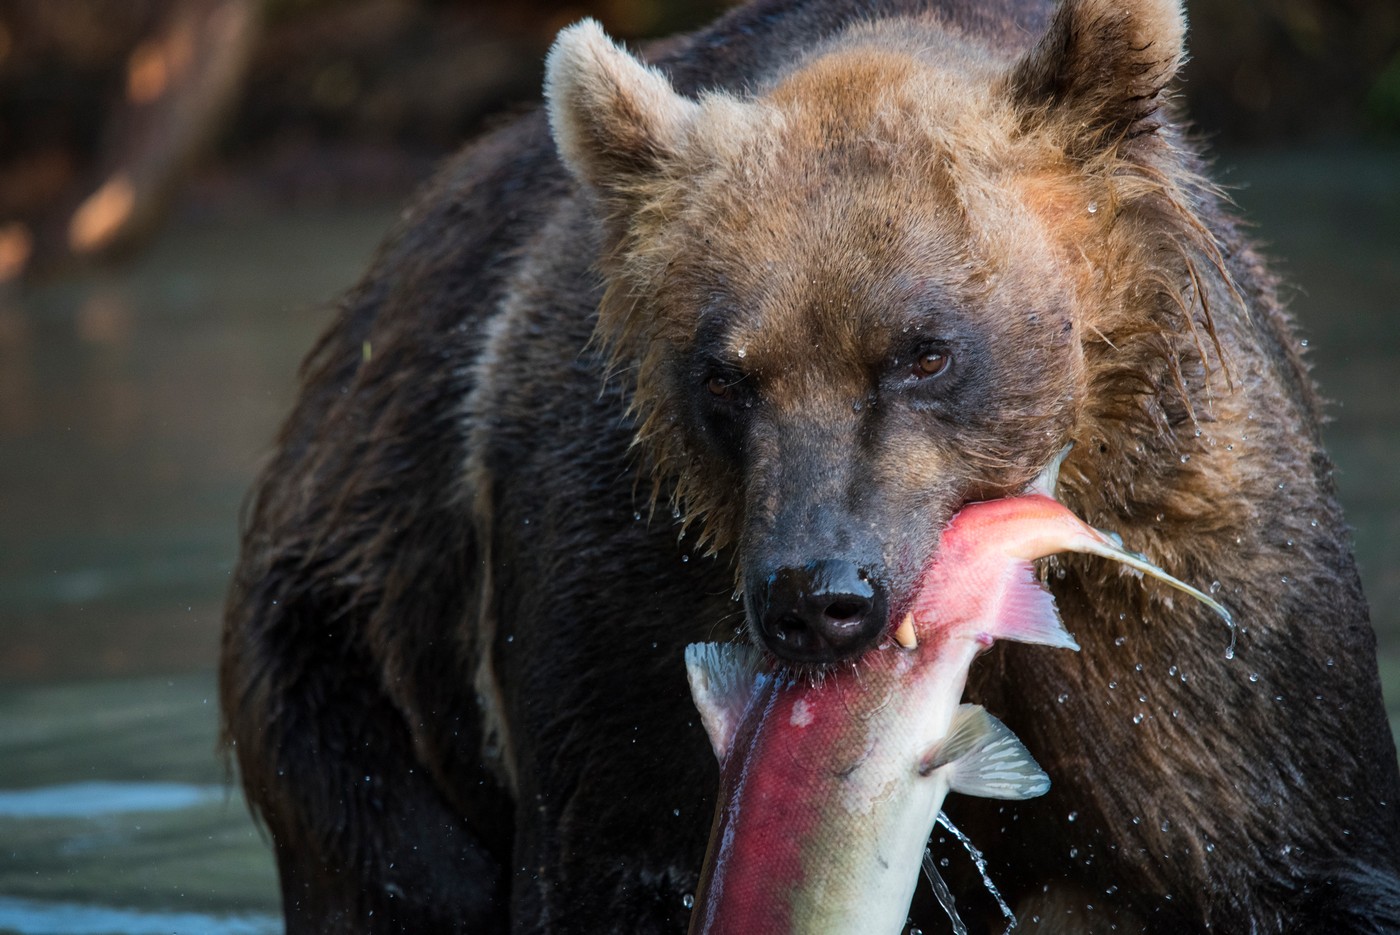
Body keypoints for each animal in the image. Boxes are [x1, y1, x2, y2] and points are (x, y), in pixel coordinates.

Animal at [218, 0, 1400, 929]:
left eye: (924, 349)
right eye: (725, 376)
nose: (816, 594)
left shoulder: (1194, 595)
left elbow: (1280, 840)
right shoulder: (621, 583)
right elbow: (614, 845)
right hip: (342, 656)